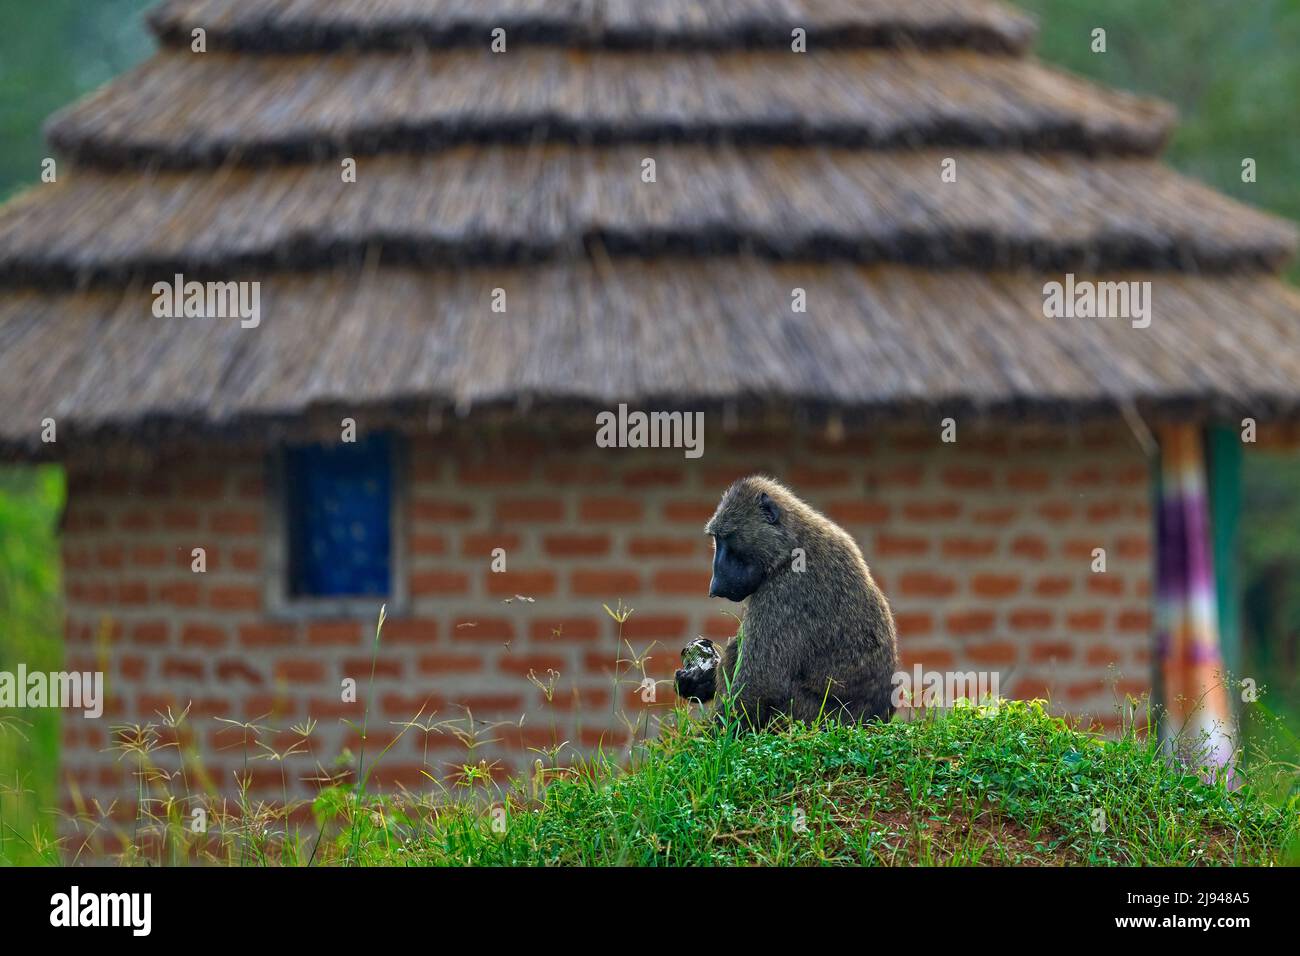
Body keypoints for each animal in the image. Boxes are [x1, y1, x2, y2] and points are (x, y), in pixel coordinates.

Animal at [674, 475, 898, 729]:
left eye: (726, 538)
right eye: (716, 539)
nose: (714, 585)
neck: (792, 545)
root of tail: (875, 720)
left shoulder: (785, 590)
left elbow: (760, 684)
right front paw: (697, 680)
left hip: (810, 717)